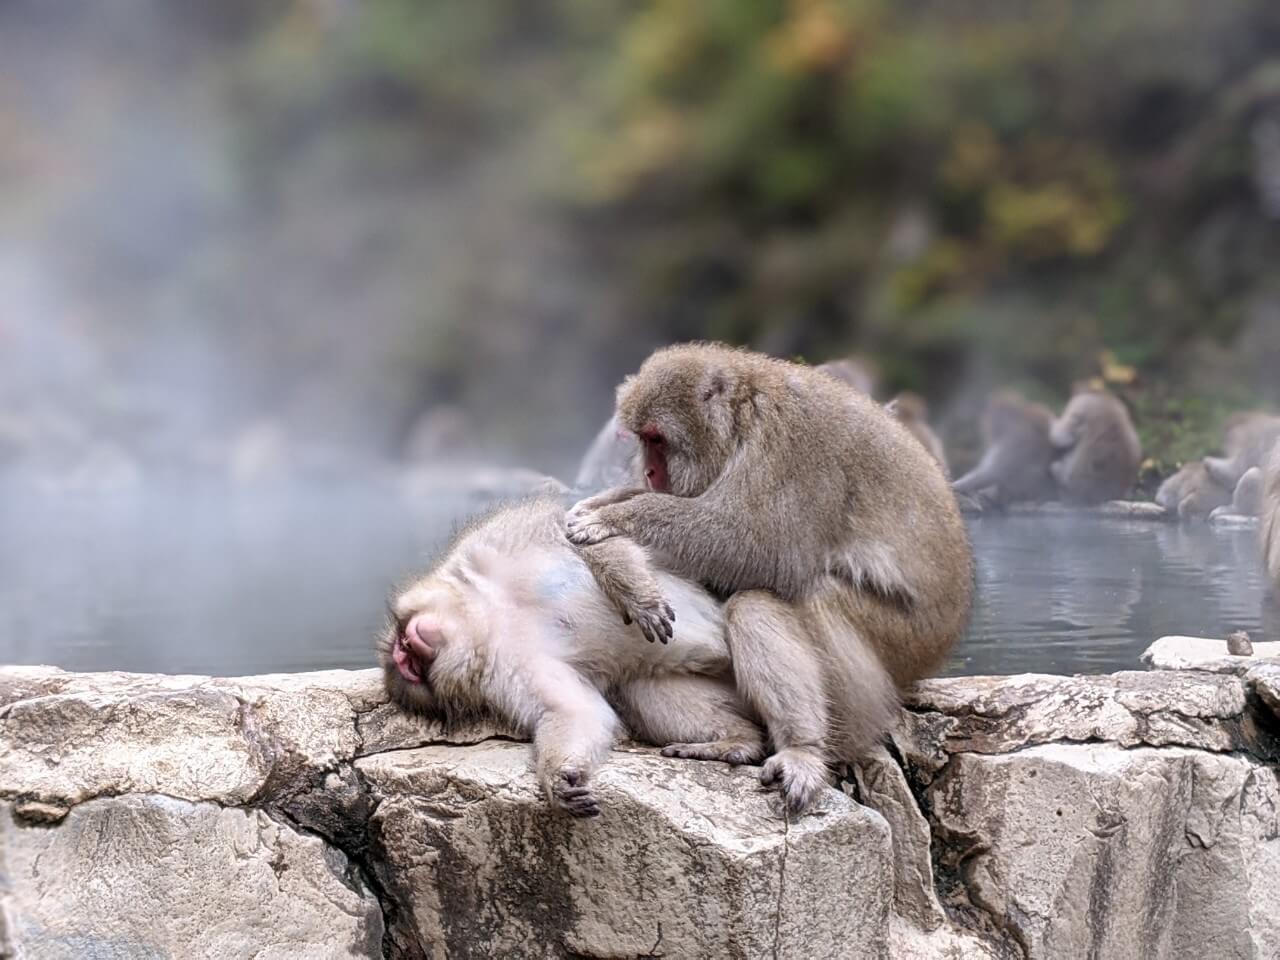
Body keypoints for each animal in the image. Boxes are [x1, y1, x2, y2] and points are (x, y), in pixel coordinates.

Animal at [376, 496, 757, 819]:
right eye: (410, 663)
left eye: (405, 648)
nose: (409, 647)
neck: (493, 616)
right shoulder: (504, 672)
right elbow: (575, 710)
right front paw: (559, 779)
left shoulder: (494, 541)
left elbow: (572, 532)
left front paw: (635, 595)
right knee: (646, 690)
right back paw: (741, 742)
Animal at [565, 343, 972, 814]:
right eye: (643, 441)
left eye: (656, 439)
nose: (649, 473)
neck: (743, 419)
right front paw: (609, 539)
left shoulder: (794, 445)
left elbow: (765, 550)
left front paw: (614, 516)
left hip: (906, 641)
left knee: (786, 599)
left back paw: (806, 749)